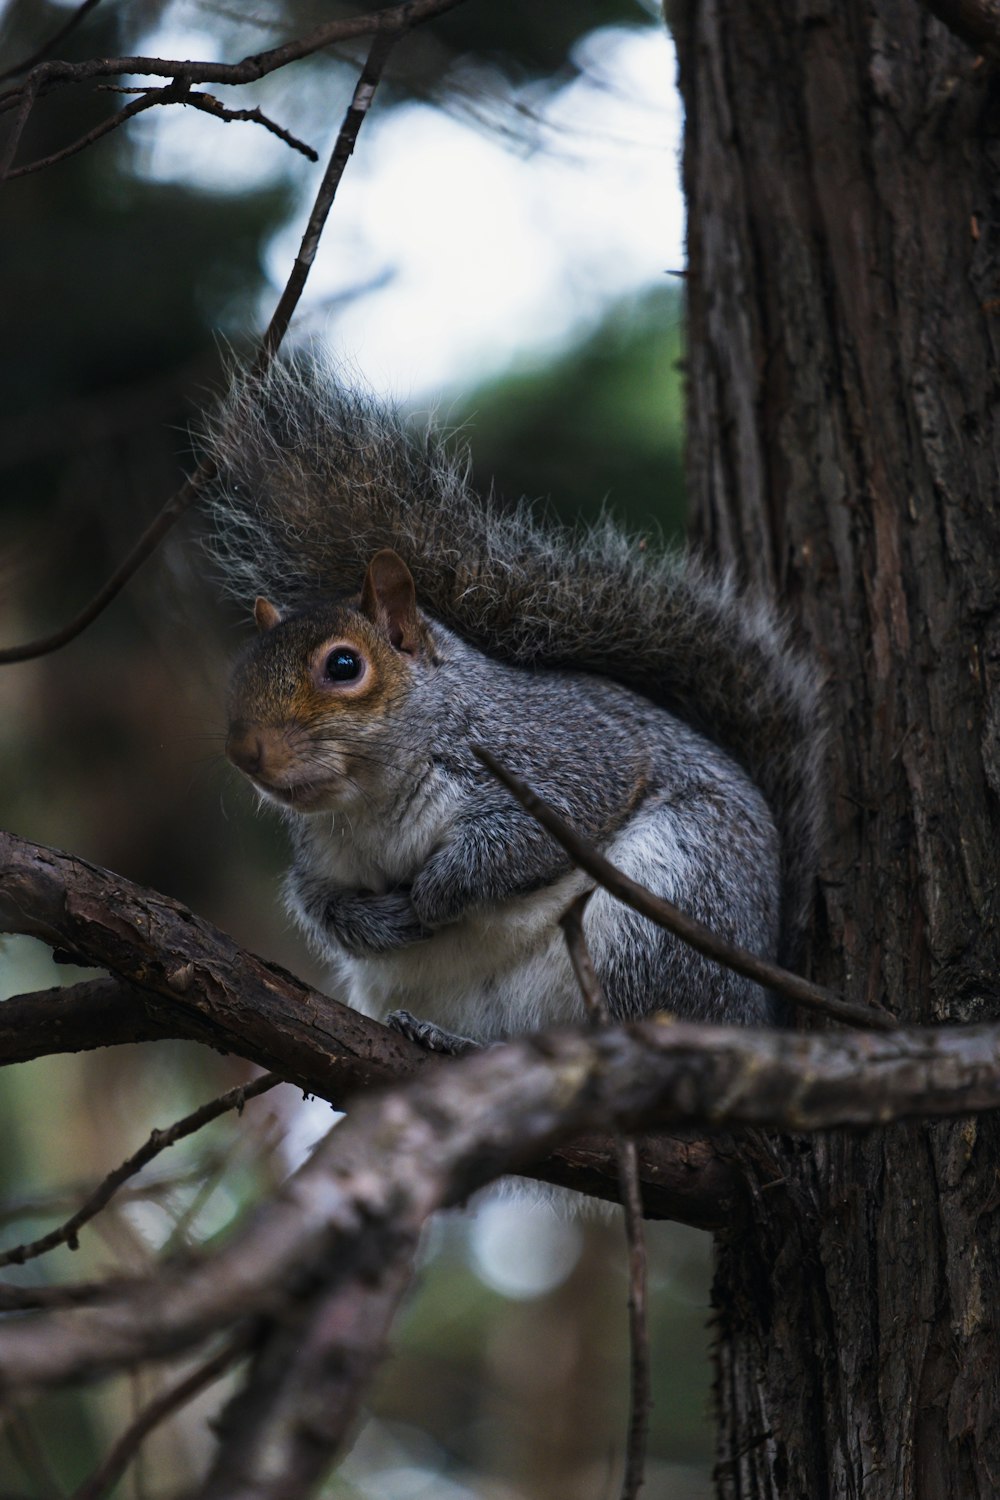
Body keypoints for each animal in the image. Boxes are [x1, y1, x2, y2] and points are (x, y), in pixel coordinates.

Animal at [209, 364, 821, 1050]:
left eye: (344, 666)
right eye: (240, 674)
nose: (245, 751)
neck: (373, 801)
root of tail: (758, 1013)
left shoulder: (562, 750)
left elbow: (539, 829)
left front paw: (439, 890)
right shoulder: (320, 856)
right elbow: (319, 905)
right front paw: (382, 921)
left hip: (667, 910)